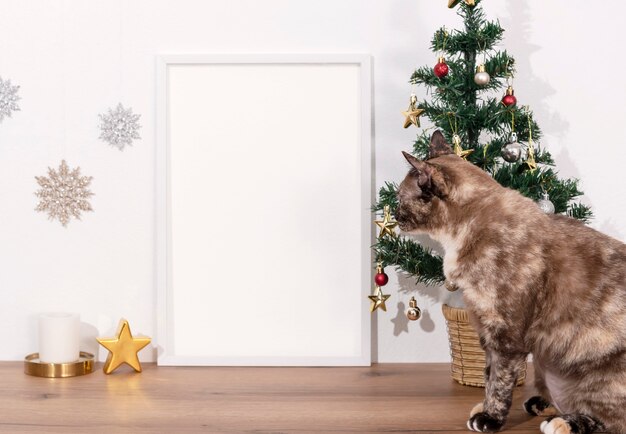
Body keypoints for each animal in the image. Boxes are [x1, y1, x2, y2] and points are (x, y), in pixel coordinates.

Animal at [394, 131, 624, 432]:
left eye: (399, 197)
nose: (393, 215)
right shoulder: (486, 329)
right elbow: (488, 374)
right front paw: (483, 407)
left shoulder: (506, 335)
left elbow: (499, 381)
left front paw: (490, 417)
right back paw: (542, 404)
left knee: (611, 421)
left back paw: (561, 423)